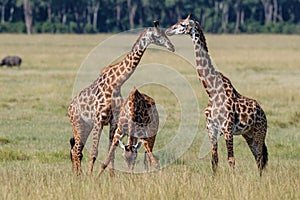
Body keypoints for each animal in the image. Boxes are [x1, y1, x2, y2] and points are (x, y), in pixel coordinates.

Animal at [68, 21, 175, 176]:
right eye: (158, 35)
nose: (172, 47)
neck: (116, 82)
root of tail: (69, 108)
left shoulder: (113, 121)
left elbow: (111, 152)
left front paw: (112, 177)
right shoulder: (99, 120)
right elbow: (94, 152)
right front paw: (90, 176)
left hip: (86, 125)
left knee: (77, 149)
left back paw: (78, 174)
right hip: (78, 124)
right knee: (76, 150)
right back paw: (79, 175)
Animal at [165, 14, 268, 176]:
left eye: (182, 24)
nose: (168, 30)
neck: (211, 92)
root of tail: (263, 113)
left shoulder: (227, 129)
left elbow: (231, 160)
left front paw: (233, 180)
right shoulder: (211, 130)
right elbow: (214, 160)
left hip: (259, 133)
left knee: (260, 158)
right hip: (248, 134)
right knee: (258, 157)